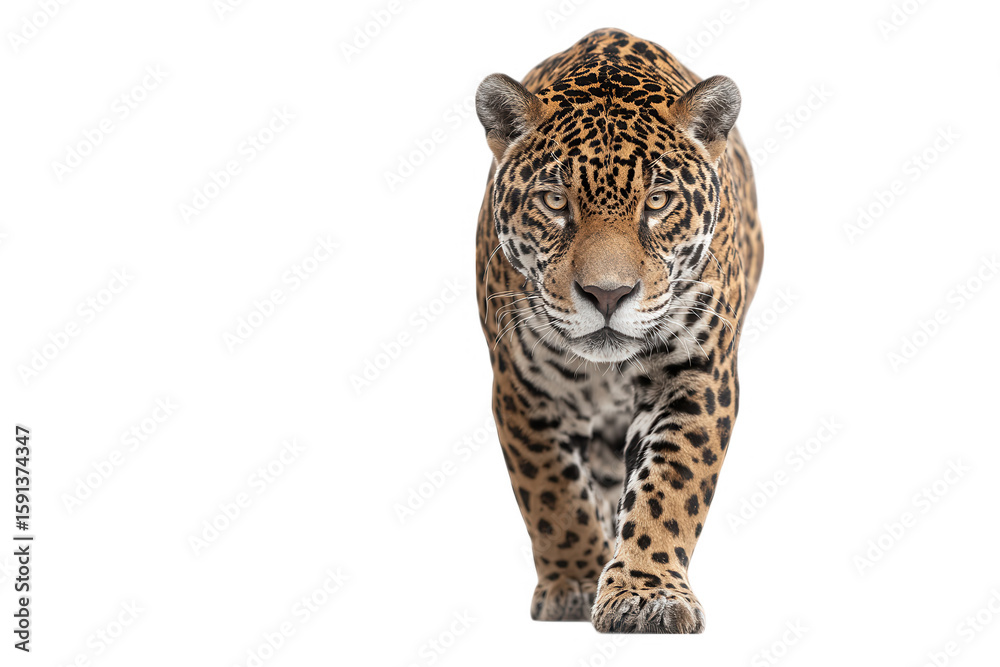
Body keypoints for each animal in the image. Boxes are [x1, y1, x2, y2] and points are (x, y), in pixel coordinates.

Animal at [473, 28, 764, 633]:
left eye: (657, 202)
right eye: (554, 201)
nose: (607, 294)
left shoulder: (696, 377)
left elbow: (670, 488)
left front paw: (646, 593)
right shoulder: (523, 387)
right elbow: (553, 493)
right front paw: (576, 582)